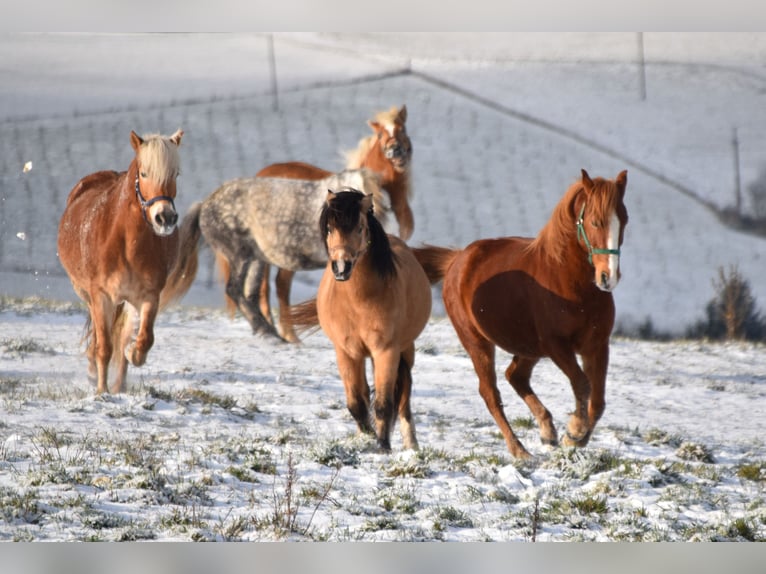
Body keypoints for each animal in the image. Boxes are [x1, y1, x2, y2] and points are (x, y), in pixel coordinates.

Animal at [57, 128, 200, 394]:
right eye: (144, 173)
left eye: (175, 174)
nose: (165, 218)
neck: (126, 244)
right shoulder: (100, 295)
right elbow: (104, 347)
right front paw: (101, 391)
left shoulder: (148, 296)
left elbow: (142, 340)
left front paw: (133, 354)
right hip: (88, 294)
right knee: (98, 335)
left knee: (122, 334)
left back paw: (120, 384)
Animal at [178, 169, 390, 340]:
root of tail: (205, 205)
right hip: (239, 254)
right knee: (234, 289)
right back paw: (268, 332)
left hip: (256, 259)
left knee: (250, 293)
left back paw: (269, 331)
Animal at [288, 191, 432, 452]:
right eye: (329, 228)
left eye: (360, 228)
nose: (341, 266)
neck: (358, 301)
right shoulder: (346, 352)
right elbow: (356, 402)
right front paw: (366, 436)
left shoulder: (386, 351)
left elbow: (384, 403)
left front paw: (383, 446)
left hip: (405, 350)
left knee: (404, 395)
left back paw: (411, 444)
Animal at [414, 169, 632, 462]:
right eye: (596, 221)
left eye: (624, 220)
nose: (608, 277)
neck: (569, 283)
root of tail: (456, 260)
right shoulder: (557, 346)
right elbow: (582, 384)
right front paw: (574, 431)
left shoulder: (596, 345)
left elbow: (597, 401)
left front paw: (576, 437)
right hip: (477, 342)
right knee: (490, 392)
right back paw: (519, 449)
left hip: (529, 348)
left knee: (515, 376)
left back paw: (547, 432)